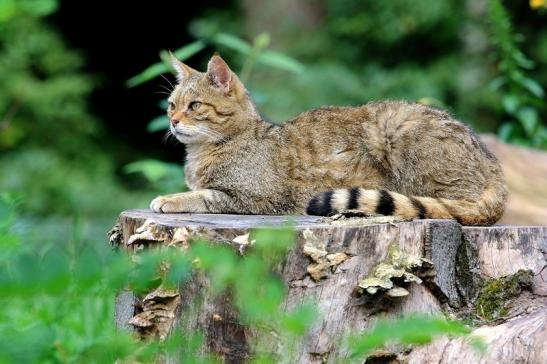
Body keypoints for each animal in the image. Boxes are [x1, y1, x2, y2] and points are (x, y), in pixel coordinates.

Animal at [150, 53, 510, 225]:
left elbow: (204, 195)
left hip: (396, 127)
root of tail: (494, 165)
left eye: (194, 106)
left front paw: (170, 198)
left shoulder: (257, 199)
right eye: (171, 104)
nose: (172, 120)